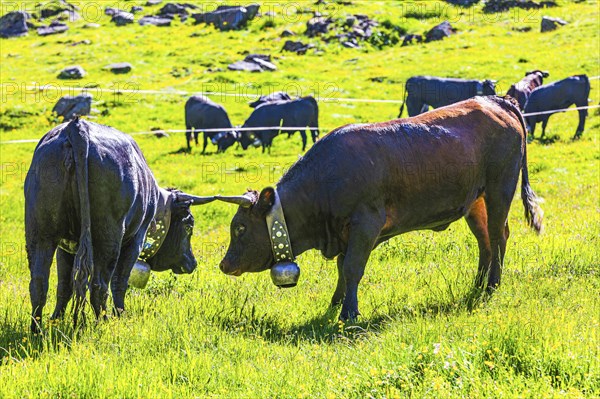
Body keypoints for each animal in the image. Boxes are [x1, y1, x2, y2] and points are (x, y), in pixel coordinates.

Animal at [25, 118, 216, 332]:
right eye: (189, 225)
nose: (192, 262)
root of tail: (77, 126)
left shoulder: (65, 247)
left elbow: (64, 286)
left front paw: (56, 319)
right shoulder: (136, 241)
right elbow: (120, 282)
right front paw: (121, 315)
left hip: (40, 232)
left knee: (39, 282)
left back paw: (37, 329)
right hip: (109, 237)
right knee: (100, 284)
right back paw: (104, 323)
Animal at [217, 97, 544, 322]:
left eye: (240, 228)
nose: (224, 264)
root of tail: (494, 100)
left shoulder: (366, 223)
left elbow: (352, 267)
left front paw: (348, 314)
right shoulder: (346, 234)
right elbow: (342, 268)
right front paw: (335, 304)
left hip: (500, 188)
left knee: (498, 235)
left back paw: (492, 286)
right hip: (475, 201)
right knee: (485, 240)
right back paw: (478, 284)